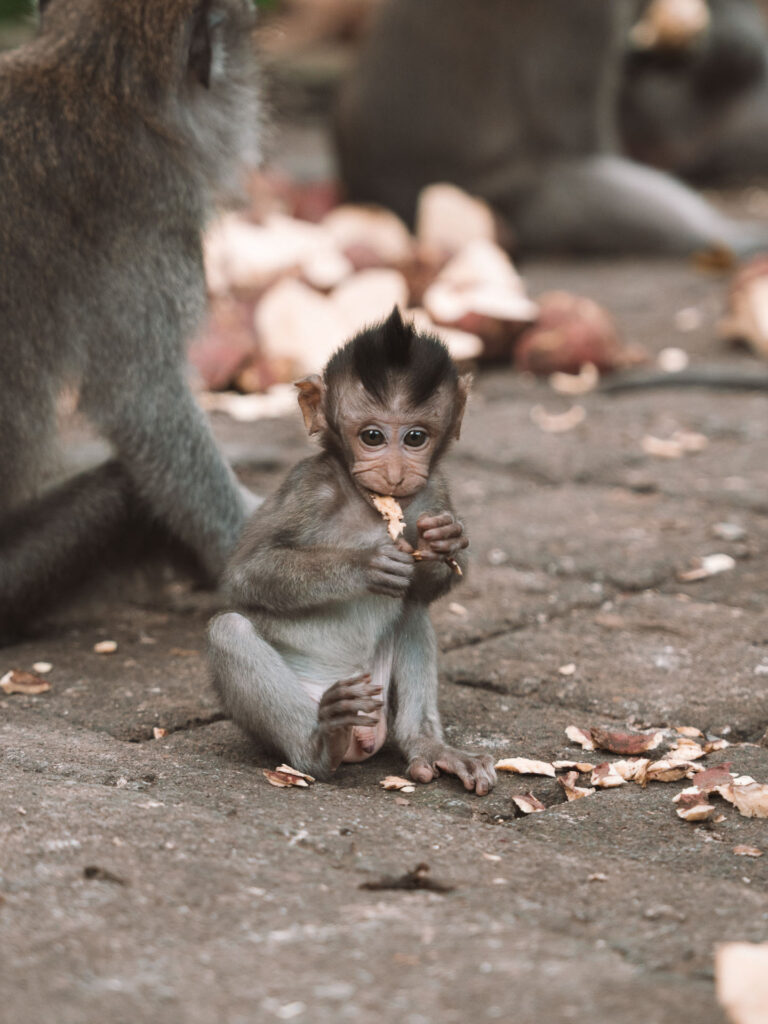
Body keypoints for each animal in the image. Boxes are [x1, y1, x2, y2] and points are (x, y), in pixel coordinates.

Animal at [208, 307, 499, 794]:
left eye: (415, 437)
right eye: (373, 437)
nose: (396, 474)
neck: (366, 504)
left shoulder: (435, 490)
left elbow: (424, 587)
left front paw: (444, 541)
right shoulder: (309, 487)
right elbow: (247, 573)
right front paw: (365, 565)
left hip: (375, 695)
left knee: (412, 610)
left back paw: (427, 745)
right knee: (229, 630)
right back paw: (322, 744)